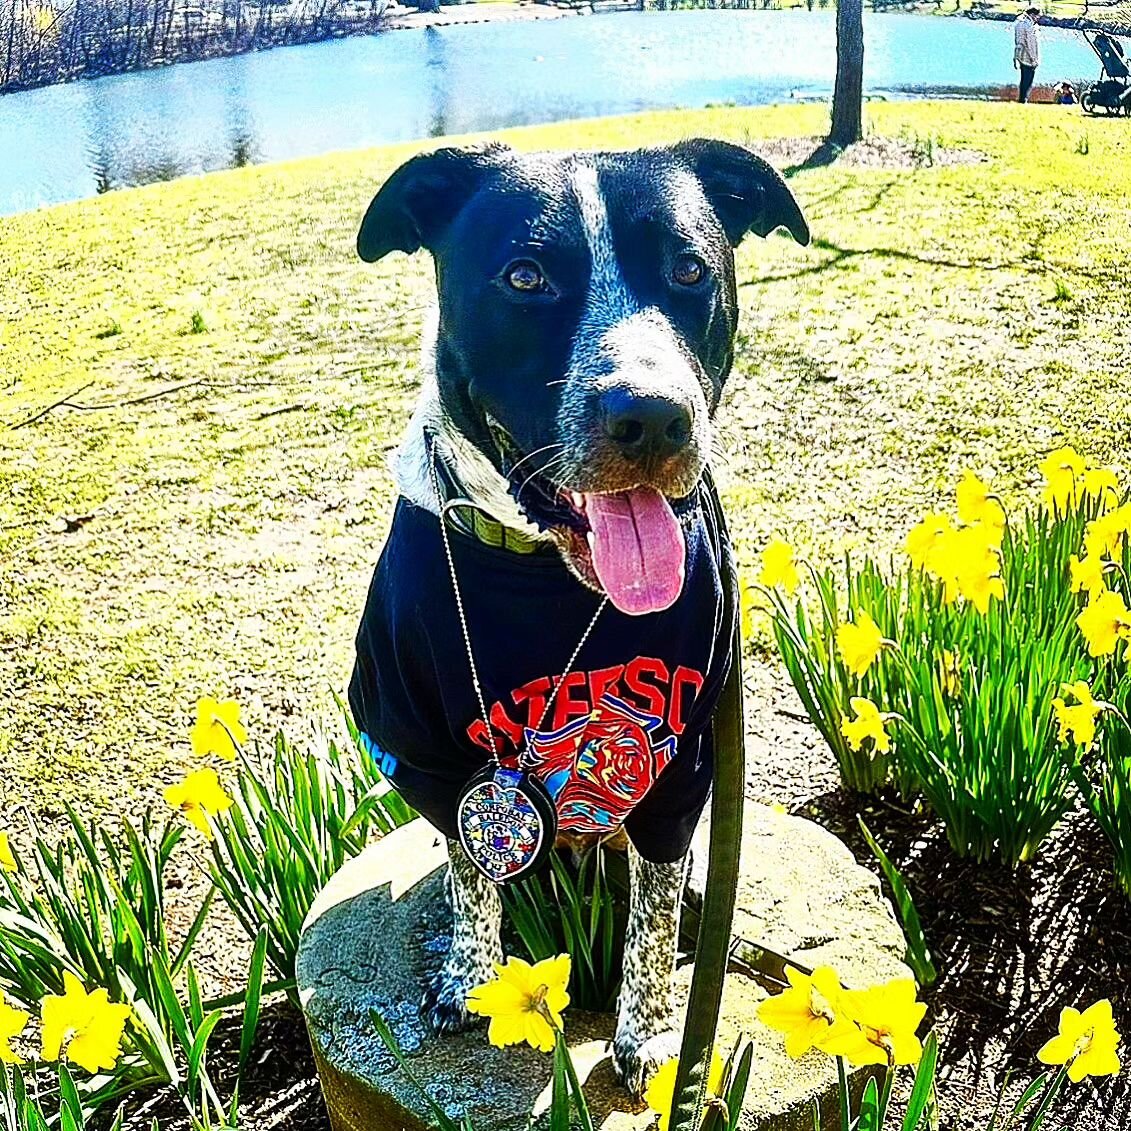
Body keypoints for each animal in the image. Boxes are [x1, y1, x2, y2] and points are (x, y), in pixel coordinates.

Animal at [343, 139, 805, 1094]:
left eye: (689, 269)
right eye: (524, 276)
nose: (652, 416)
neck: (546, 575)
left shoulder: (684, 766)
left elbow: (652, 919)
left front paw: (650, 1034)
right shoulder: (422, 748)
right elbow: (471, 868)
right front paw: (470, 976)